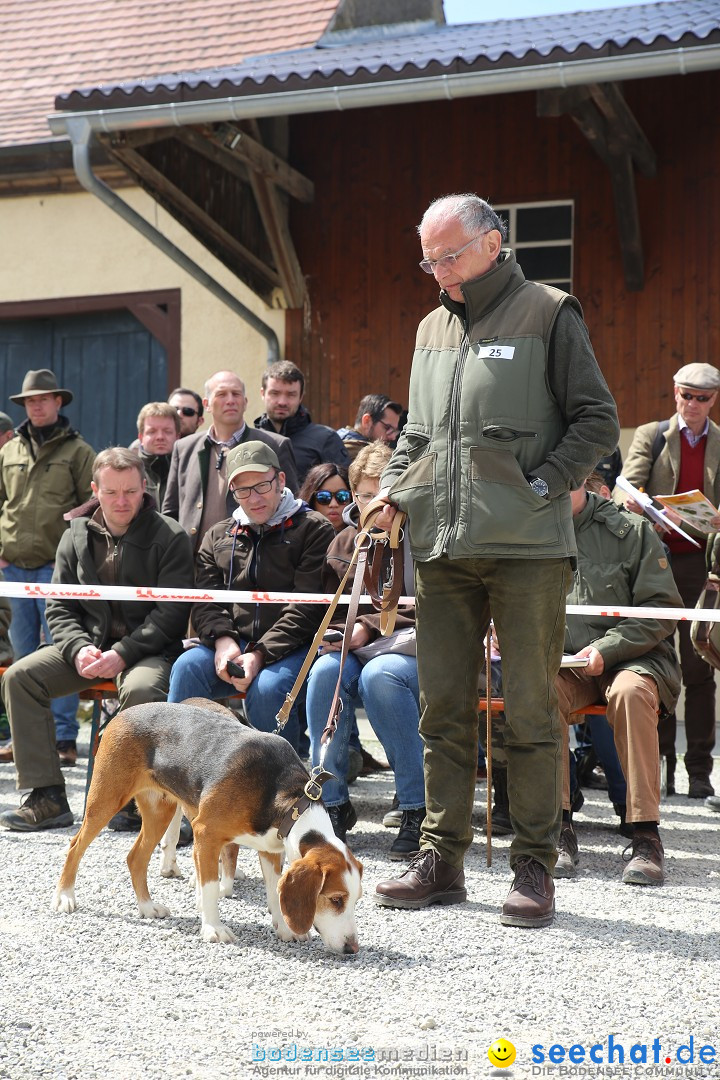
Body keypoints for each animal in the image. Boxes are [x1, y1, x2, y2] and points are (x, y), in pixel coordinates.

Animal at [53, 699, 362, 954]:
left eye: (356, 900)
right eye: (336, 900)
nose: (352, 949)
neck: (291, 800)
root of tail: (123, 712)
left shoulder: (272, 850)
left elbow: (275, 893)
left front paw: (285, 928)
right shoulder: (206, 834)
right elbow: (211, 888)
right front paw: (213, 928)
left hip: (160, 810)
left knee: (136, 857)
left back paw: (147, 907)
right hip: (105, 799)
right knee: (76, 845)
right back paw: (65, 897)